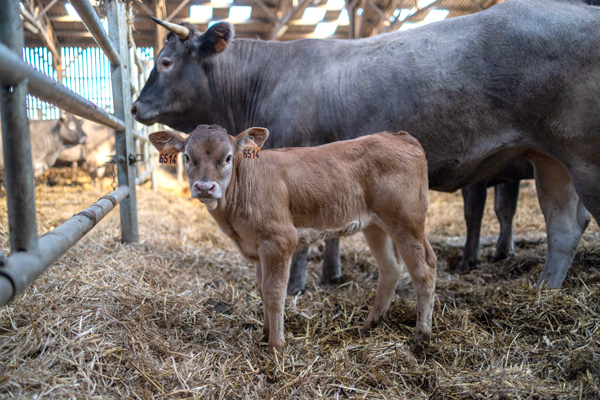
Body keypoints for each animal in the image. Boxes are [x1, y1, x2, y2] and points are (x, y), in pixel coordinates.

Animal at [131, 0, 600, 290]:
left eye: (165, 62)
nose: (135, 106)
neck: (268, 78)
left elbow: (305, 238)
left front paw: (298, 285)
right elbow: (331, 232)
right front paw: (331, 276)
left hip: (585, 157)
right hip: (550, 159)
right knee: (564, 225)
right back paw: (544, 289)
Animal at [148, 125, 438, 354]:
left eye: (228, 157)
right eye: (187, 156)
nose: (205, 187)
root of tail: (400, 136)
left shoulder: (279, 240)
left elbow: (275, 293)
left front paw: (277, 346)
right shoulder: (257, 248)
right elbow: (262, 290)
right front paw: (264, 336)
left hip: (406, 219)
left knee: (424, 269)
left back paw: (421, 337)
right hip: (376, 224)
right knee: (390, 268)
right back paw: (369, 325)